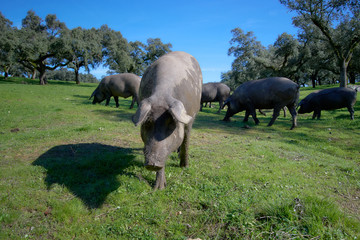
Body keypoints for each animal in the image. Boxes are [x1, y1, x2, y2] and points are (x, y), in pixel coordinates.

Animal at [131, 51, 202, 190]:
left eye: (171, 124)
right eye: (147, 123)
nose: (152, 163)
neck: (162, 95)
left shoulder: (190, 118)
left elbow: (186, 140)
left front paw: (184, 166)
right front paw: (159, 188)